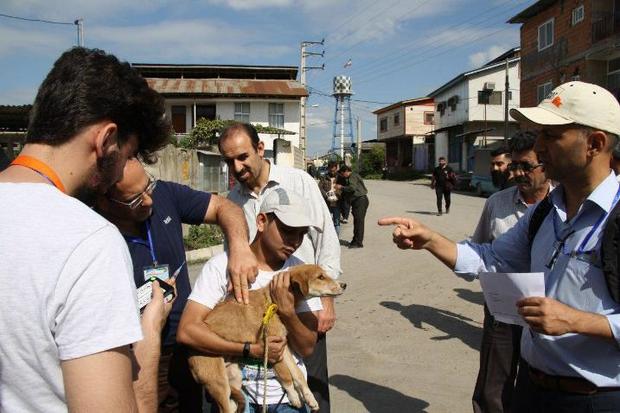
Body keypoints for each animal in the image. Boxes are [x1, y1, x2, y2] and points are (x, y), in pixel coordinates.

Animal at [188, 264, 344, 412]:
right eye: (320, 277)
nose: (344, 285)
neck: (272, 303)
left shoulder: (283, 346)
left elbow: (298, 374)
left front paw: (310, 398)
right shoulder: (273, 348)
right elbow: (286, 376)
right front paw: (293, 397)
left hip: (234, 378)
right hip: (218, 382)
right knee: (224, 408)